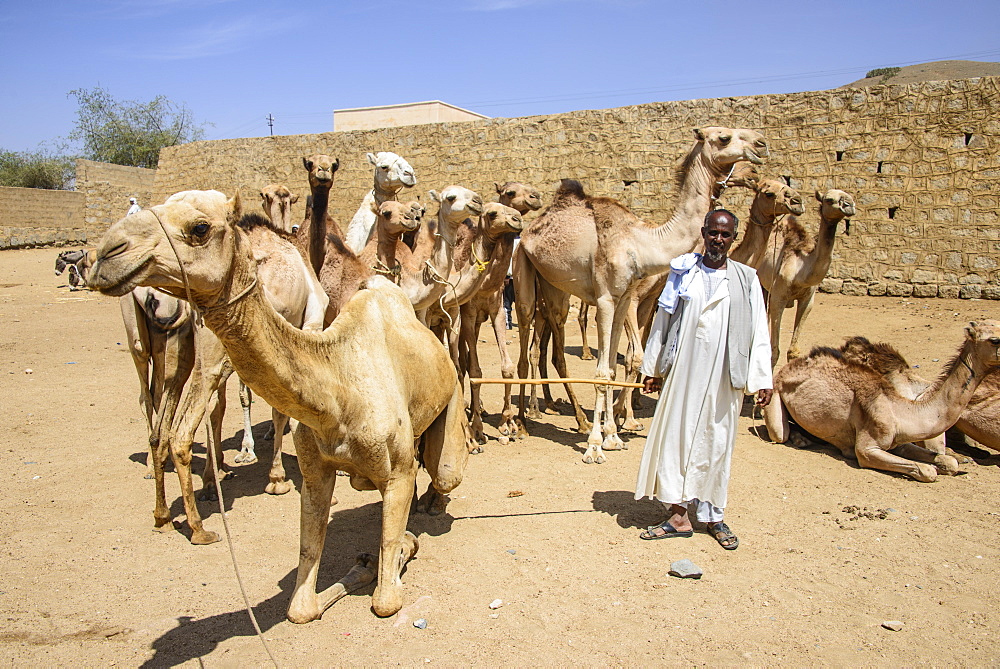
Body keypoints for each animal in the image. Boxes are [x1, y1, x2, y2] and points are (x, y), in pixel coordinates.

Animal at [88, 188, 470, 620]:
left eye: (200, 228)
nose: (106, 253)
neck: (338, 389)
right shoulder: (316, 470)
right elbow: (302, 600)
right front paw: (362, 564)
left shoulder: (398, 471)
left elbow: (387, 598)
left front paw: (399, 547)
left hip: (451, 401)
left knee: (444, 473)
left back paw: (433, 502)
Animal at [516, 125, 764, 462]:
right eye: (723, 137)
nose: (761, 145)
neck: (641, 241)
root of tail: (531, 228)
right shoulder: (606, 299)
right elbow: (602, 373)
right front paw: (594, 446)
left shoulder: (624, 300)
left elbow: (615, 364)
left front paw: (612, 436)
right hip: (523, 270)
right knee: (524, 340)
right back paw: (519, 424)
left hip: (555, 289)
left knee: (548, 343)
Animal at [764, 322, 1000, 482]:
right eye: (995, 339)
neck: (902, 408)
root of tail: (786, 370)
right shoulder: (867, 449)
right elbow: (927, 470)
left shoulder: (901, 441)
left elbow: (947, 462)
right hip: (776, 395)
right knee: (780, 432)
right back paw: (799, 439)